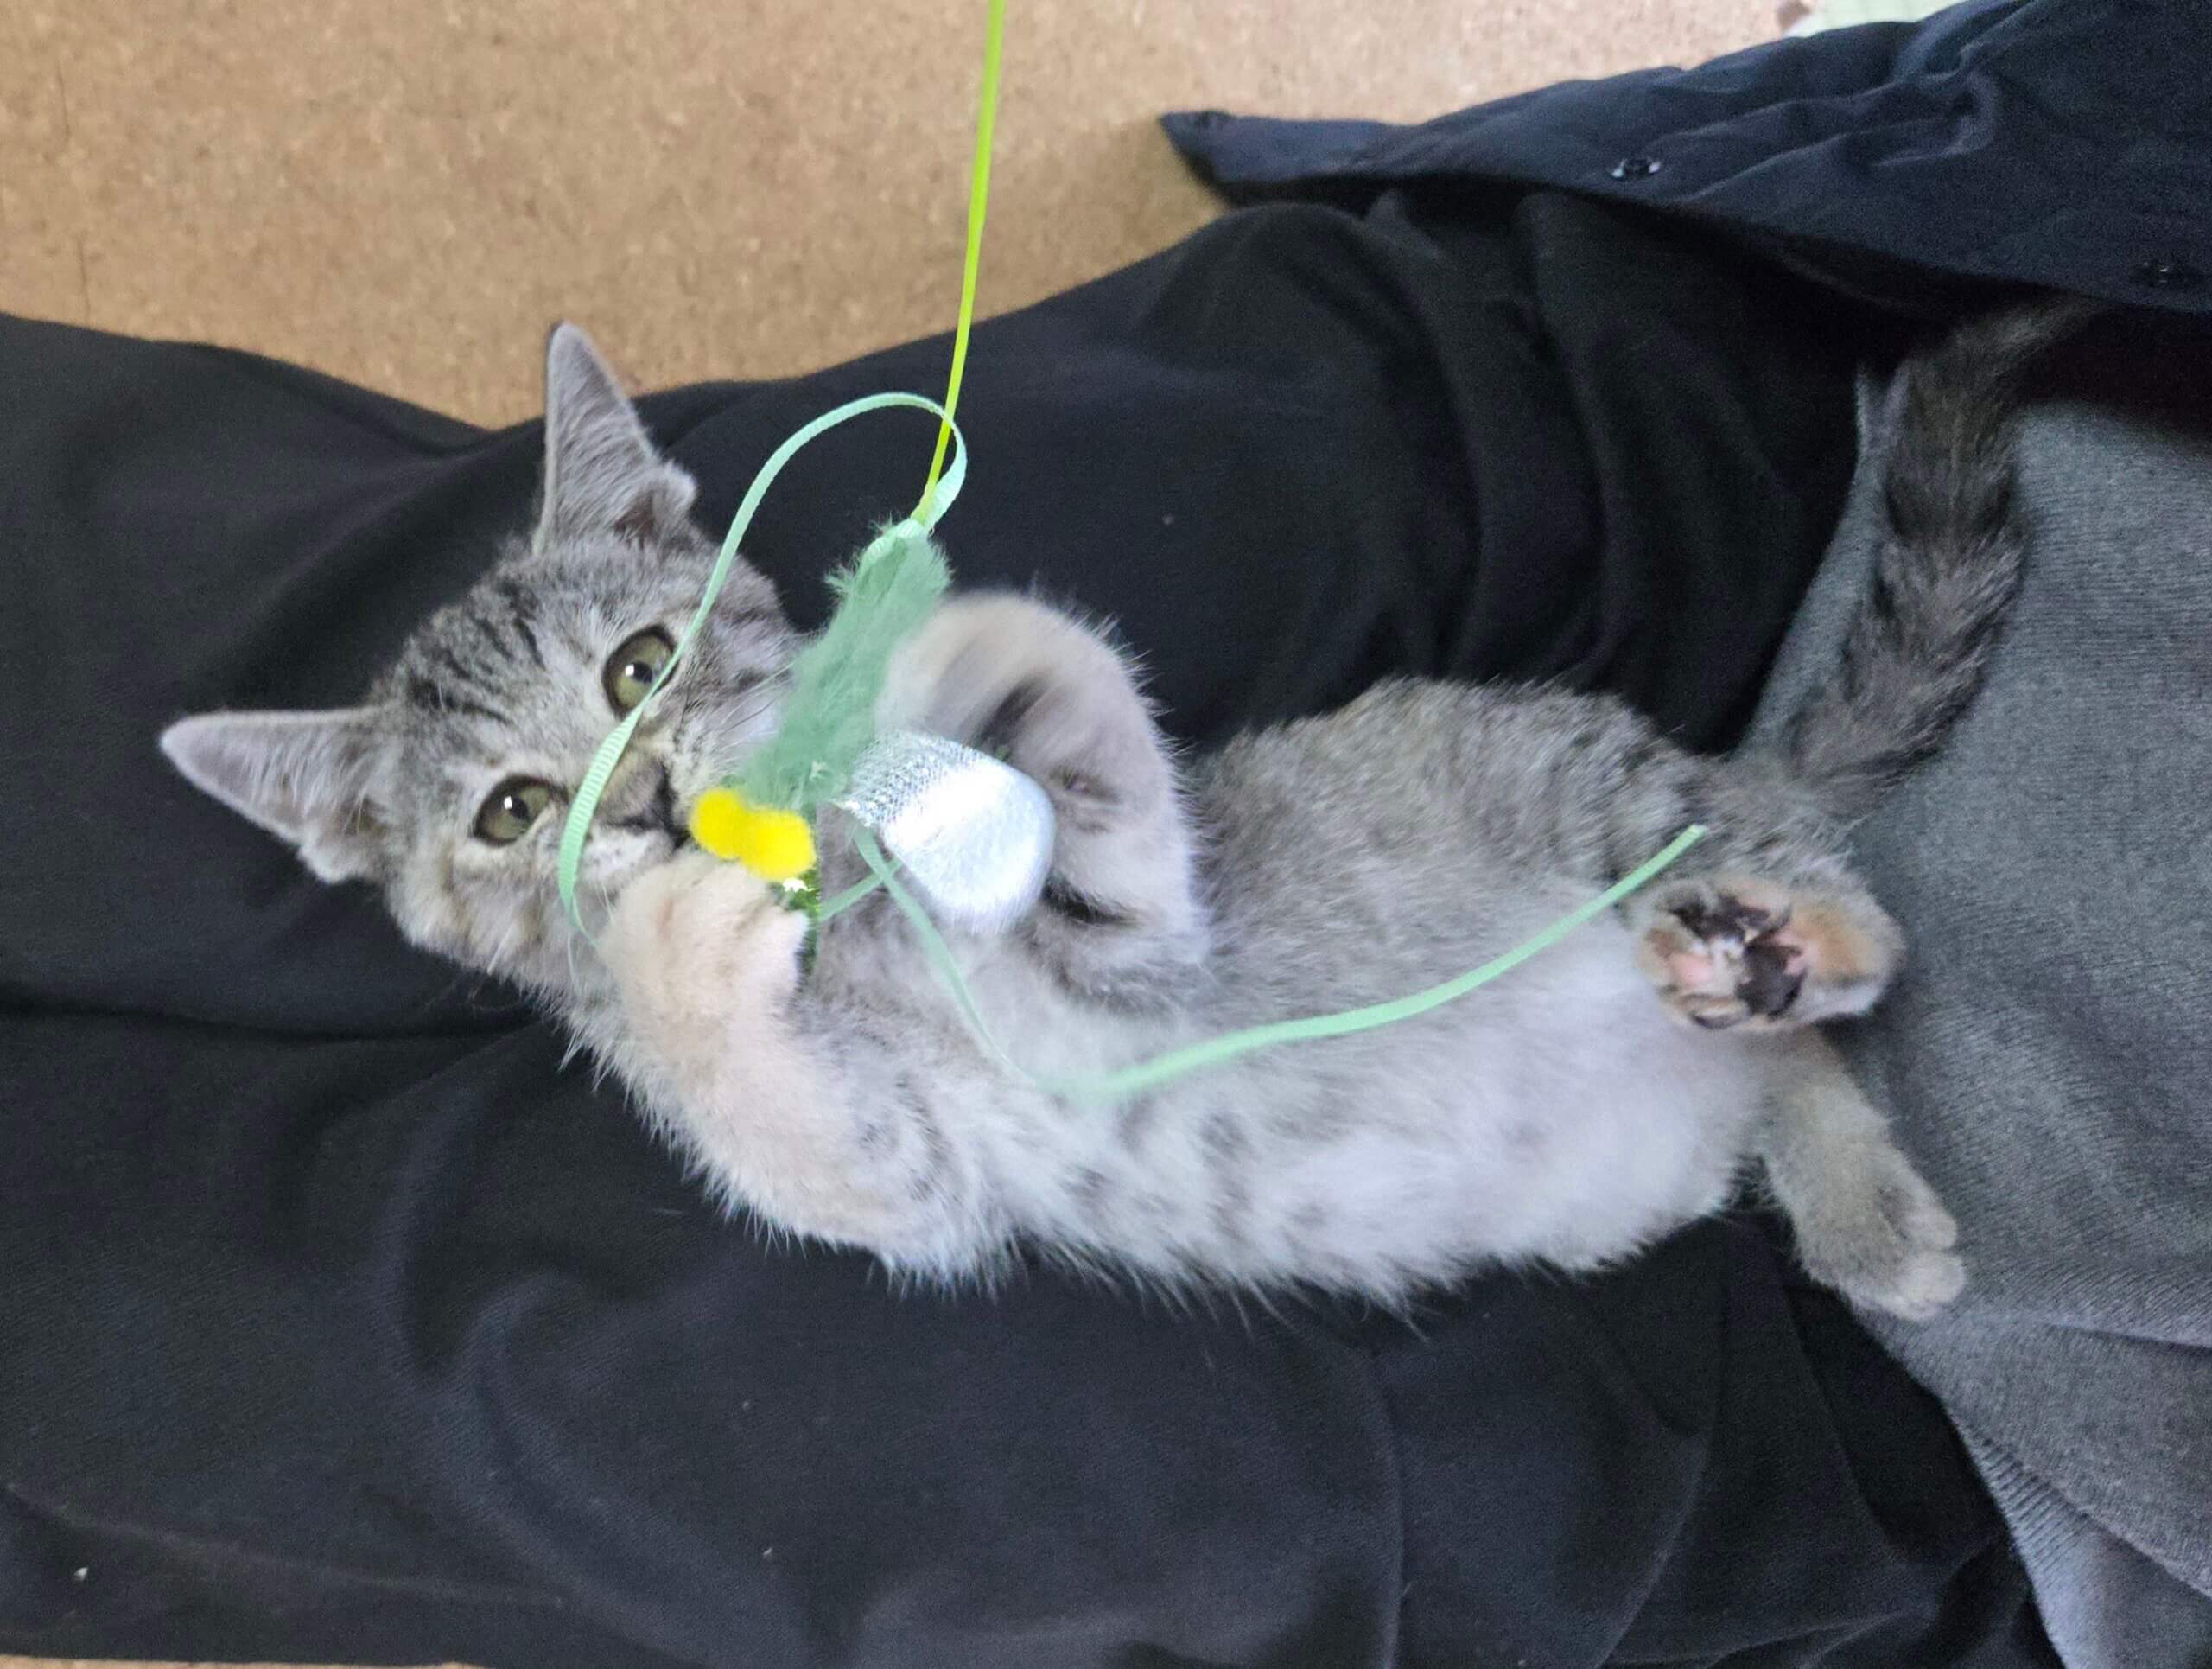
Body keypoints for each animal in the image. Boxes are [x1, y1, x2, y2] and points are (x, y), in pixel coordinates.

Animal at [162, 300, 2093, 1318]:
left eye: (641, 663)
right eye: (510, 809)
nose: (640, 801)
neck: (856, 932)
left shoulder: (1153, 931)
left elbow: (1077, 751)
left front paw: (940, 641)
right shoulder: (914, 1178)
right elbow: (797, 1129)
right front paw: (675, 952)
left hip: (1587, 788)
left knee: (1827, 918)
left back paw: (1798, 964)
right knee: (1784, 1046)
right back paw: (1840, 1160)